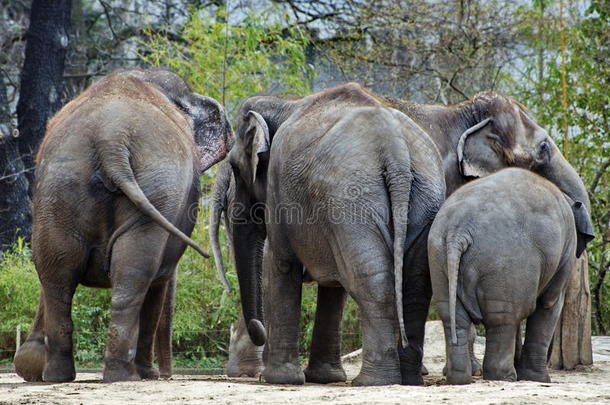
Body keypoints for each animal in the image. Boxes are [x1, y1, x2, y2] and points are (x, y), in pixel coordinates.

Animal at [14, 67, 233, 382]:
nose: (167, 375)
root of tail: (111, 138)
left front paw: (30, 363)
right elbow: (161, 279)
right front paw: (151, 375)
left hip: (59, 187)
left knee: (58, 272)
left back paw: (61, 375)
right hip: (153, 188)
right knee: (136, 275)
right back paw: (127, 375)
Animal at [223, 83, 442, 386]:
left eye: (234, 167)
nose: (257, 328)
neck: (284, 102)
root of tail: (395, 150)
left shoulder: (280, 190)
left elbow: (280, 263)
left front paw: (280, 379)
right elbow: (333, 284)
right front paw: (322, 377)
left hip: (352, 200)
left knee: (370, 280)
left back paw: (373, 381)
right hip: (422, 193)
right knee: (415, 286)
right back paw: (408, 380)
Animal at [426, 166, 592, 382]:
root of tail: (459, 231)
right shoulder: (566, 251)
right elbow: (549, 303)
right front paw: (540, 380)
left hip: (439, 254)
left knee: (454, 316)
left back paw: (460, 380)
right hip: (504, 261)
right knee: (503, 318)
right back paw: (505, 378)